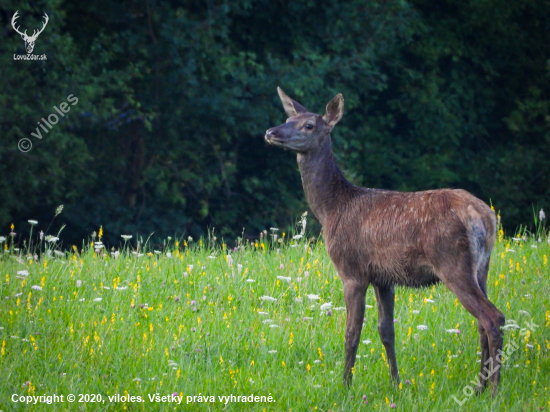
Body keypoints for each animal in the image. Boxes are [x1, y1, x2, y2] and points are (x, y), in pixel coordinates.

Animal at [266, 87, 506, 396]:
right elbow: (386, 331)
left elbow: (352, 332)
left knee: (492, 317)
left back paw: (494, 390)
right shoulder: (384, 277)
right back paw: (478, 388)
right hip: (482, 267)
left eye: (308, 125)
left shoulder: (352, 271)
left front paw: (345, 385)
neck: (332, 210)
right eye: (288, 118)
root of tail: (484, 216)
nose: (271, 132)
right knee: (481, 322)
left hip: (453, 262)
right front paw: (396, 383)